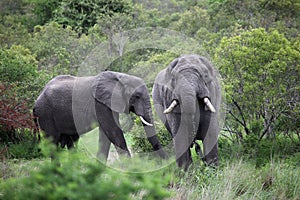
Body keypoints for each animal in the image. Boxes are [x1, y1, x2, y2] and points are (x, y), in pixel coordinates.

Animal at [34, 71, 169, 160]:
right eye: (136, 96)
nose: (166, 161)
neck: (120, 77)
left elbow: (105, 135)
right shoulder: (100, 104)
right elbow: (113, 132)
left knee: (72, 141)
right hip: (45, 114)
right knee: (52, 143)